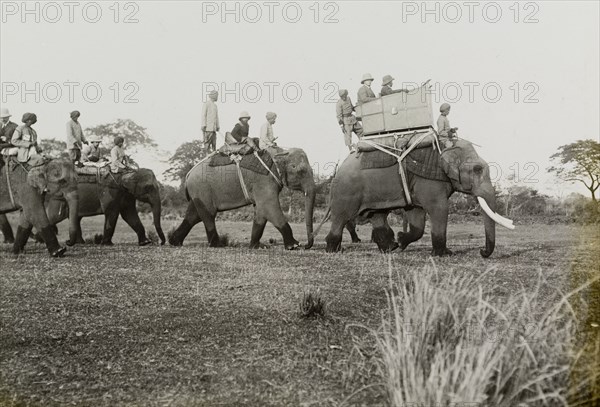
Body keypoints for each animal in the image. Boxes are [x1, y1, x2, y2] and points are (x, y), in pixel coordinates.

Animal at [169, 148, 316, 250]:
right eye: (298, 170)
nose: (306, 245)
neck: (280, 151)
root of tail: (188, 175)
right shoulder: (264, 181)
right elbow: (270, 208)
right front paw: (293, 246)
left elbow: (261, 212)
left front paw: (257, 246)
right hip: (202, 189)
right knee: (208, 215)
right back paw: (219, 245)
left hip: (198, 192)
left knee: (193, 216)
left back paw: (174, 242)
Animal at [326, 139, 512, 256]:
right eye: (477, 169)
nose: (482, 251)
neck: (446, 145)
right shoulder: (428, 181)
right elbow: (439, 208)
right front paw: (445, 254)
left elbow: (417, 215)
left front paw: (402, 240)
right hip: (347, 191)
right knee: (342, 217)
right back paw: (333, 250)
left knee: (378, 215)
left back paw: (390, 248)